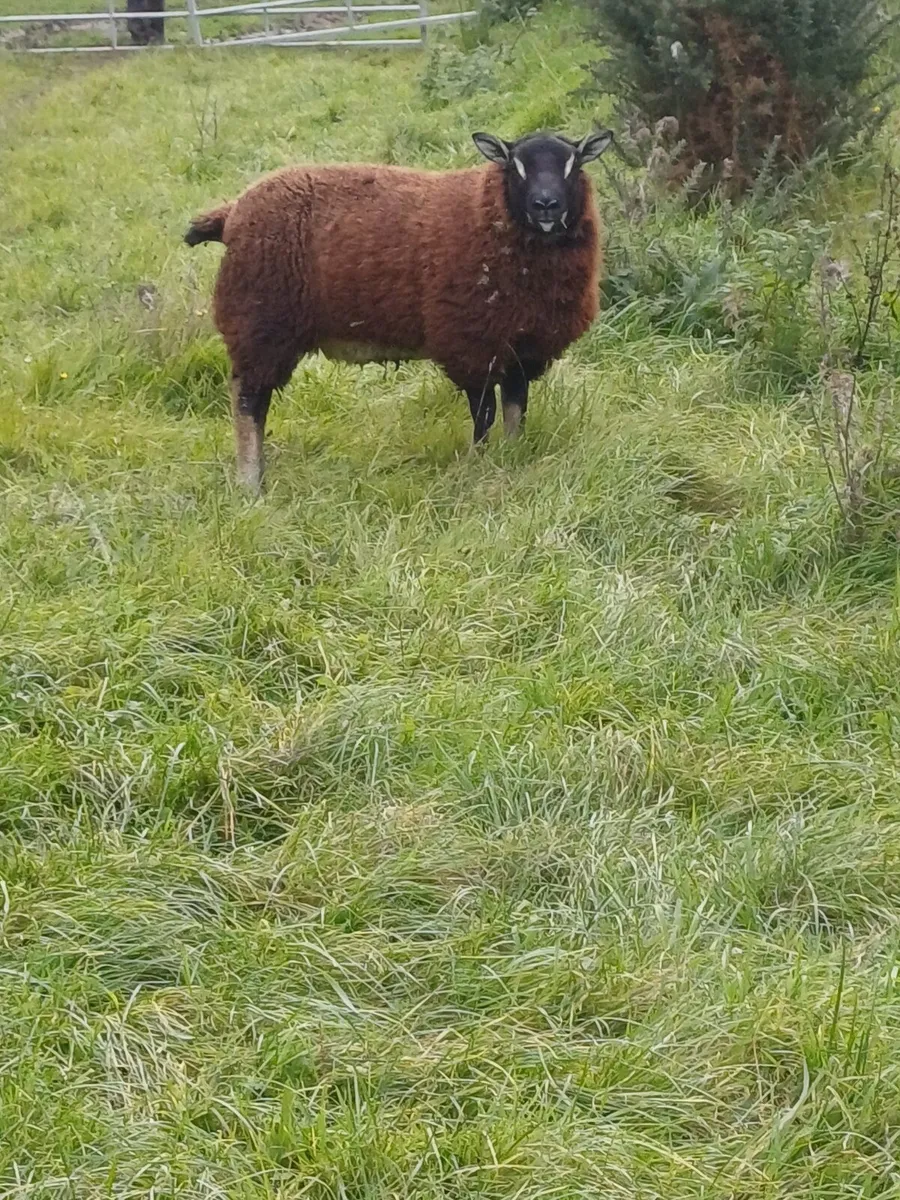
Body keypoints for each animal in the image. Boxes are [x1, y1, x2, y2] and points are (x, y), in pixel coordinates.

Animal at [184, 128, 613, 490]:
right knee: (248, 404)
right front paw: (479, 464)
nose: (546, 205)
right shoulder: (470, 343)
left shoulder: (522, 348)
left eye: (574, 163)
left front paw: (512, 455)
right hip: (259, 323)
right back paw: (250, 483)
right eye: (515, 165)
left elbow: (515, 410)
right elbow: (484, 414)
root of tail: (232, 211)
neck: (491, 213)